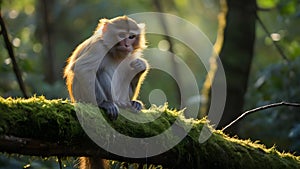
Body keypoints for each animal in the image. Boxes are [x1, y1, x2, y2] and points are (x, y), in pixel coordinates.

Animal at [63, 16, 149, 169]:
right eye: (122, 35)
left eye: (131, 37)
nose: (127, 45)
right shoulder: (99, 47)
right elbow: (83, 69)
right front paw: (103, 104)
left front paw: (141, 67)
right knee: (100, 72)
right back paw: (113, 104)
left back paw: (130, 104)